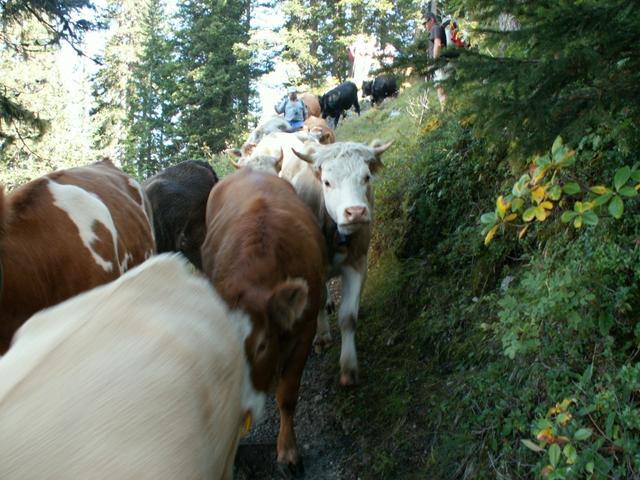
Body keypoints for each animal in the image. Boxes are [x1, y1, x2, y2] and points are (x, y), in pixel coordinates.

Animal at [282, 139, 392, 386]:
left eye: (366, 177)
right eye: (327, 182)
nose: (356, 212)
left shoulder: (358, 263)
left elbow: (348, 317)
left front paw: (348, 367)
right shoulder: (313, 272)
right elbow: (319, 302)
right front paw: (322, 336)